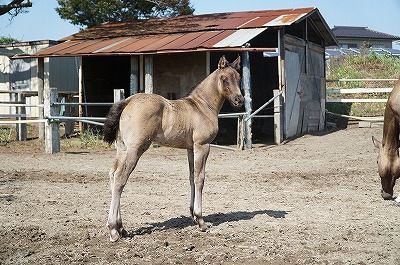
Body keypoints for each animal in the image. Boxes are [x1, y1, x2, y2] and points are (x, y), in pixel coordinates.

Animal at [103, 55, 244, 241]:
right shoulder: (203, 146)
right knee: (120, 178)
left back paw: (121, 228)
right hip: (136, 149)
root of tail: (128, 101)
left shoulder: (191, 149)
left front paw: (193, 214)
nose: (239, 100)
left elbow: (192, 178)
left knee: (112, 174)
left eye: (239, 78)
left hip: (122, 148)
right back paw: (113, 230)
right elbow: (200, 179)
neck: (202, 106)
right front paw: (200, 220)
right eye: (224, 78)